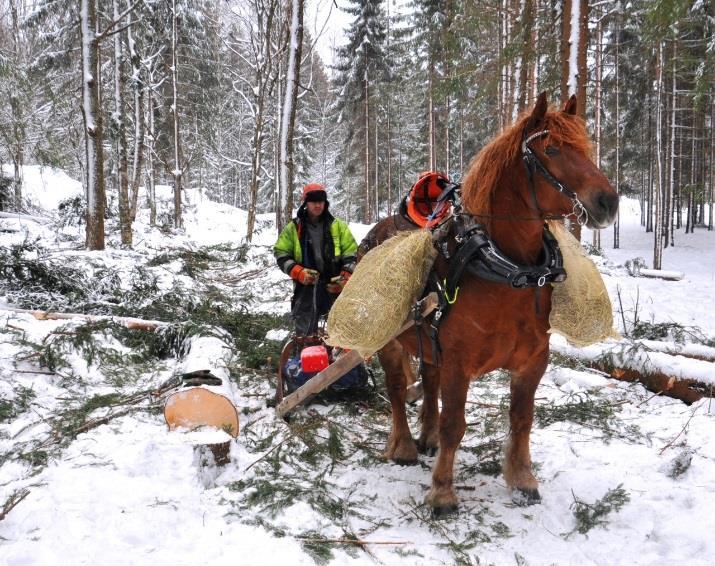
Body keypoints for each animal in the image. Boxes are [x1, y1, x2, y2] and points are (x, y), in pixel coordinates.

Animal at [360, 92, 620, 516]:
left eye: (586, 148)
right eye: (551, 149)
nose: (608, 202)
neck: (507, 270)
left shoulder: (532, 361)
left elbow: (522, 418)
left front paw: (522, 479)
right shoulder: (459, 364)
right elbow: (455, 425)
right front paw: (443, 492)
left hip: (429, 341)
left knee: (427, 382)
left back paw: (426, 437)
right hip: (390, 340)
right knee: (397, 389)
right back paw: (403, 445)